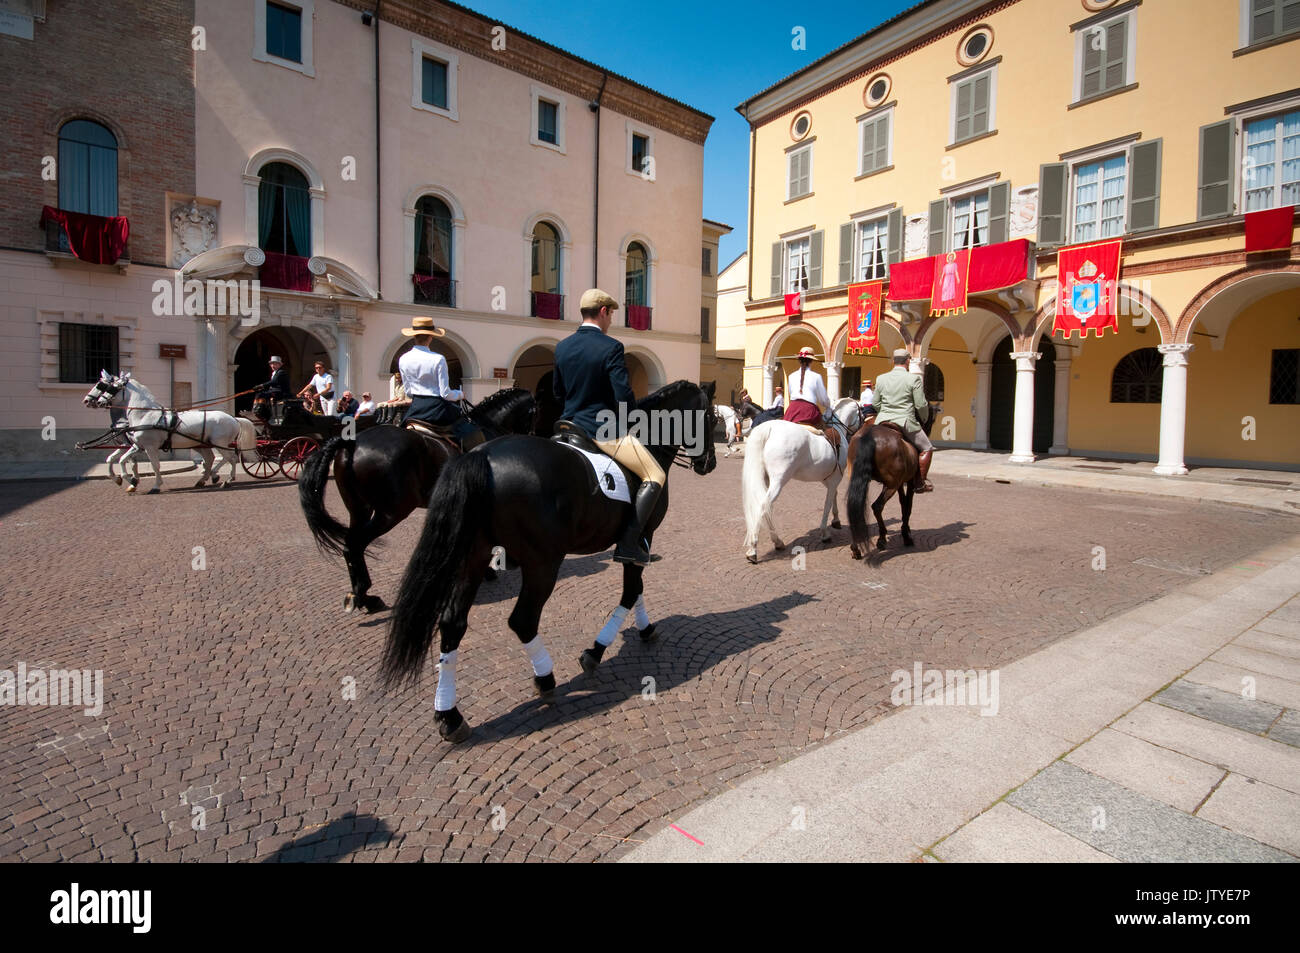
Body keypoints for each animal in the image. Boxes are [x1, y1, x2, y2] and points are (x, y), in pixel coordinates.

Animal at [83, 369, 256, 494]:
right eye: (103, 385)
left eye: (107, 386)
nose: (90, 401)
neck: (145, 415)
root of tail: (233, 418)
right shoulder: (137, 446)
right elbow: (116, 460)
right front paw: (126, 480)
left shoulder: (149, 447)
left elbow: (153, 465)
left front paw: (153, 485)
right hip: (203, 444)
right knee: (212, 458)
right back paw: (207, 478)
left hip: (219, 443)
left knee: (230, 458)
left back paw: (227, 479)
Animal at [297, 384, 535, 608]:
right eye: (535, 412)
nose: (533, 438)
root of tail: (350, 443)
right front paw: (488, 571)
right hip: (390, 513)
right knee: (356, 545)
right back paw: (364, 595)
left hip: (359, 509)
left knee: (349, 546)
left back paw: (362, 596)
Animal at [379, 379, 717, 743]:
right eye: (712, 418)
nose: (709, 464)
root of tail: (482, 455)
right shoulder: (642, 537)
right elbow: (631, 591)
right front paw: (596, 651)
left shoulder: (639, 540)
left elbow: (636, 590)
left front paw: (645, 629)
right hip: (543, 563)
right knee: (523, 621)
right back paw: (545, 679)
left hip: (474, 557)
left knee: (452, 624)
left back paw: (450, 716)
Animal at [743, 395, 863, 561]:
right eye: (861, 412)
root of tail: (770, 429)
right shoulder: (835, 478)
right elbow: (828, 503)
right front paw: (825, 532)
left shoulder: (828, 478)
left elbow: (834, 496)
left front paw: (836, 520)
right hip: (778, 481)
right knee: (763, 505)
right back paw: (753, 549)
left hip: (766, 480)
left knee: (767, 508)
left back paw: (777, 542)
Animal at [847, 403, 941, 556]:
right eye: (932, 419)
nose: (928, 431)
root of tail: (869, 436)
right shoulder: (909, 483)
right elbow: (908, 506)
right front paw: (907, 536)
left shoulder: (900, 483)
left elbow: (903, 503)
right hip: (891, 485)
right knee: (877, 506)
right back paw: (881, 539)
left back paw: (856, 547)